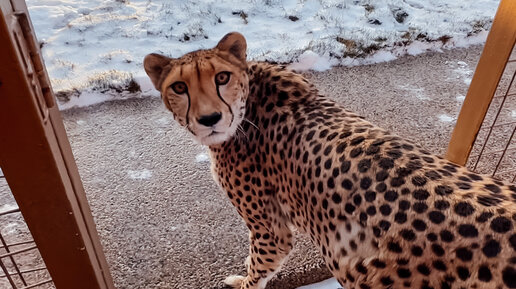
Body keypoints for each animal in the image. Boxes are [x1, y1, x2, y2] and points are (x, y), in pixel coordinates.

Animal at [144, 32, 516, 288]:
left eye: (221, 77)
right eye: (179, 87)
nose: (210, 119)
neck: (249, 104)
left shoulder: (271, 232)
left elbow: (257, 269)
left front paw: (243, 282)